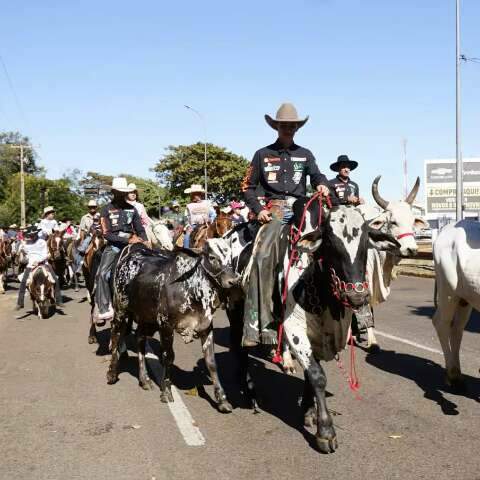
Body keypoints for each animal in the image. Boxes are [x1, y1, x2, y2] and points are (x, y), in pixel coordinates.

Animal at [107, 238, 238, 410]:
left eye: (232, 256)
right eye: (212, 257)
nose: (234, 281)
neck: (191, 288)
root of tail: (130, 254)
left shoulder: (206, 328)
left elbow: (211, 362)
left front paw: (222, 400)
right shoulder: (166, 326)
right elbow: (168, 357)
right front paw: (166, 392)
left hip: (146, 319)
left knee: (140, 340)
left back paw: (144, 379)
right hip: (121, 311)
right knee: (116, 336)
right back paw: (112, 374)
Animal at [434, 219, 478, 392]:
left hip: (465, 298)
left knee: (457, 328)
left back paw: (457, 373)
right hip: (448, 291)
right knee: (441, 323)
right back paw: (452, 374)